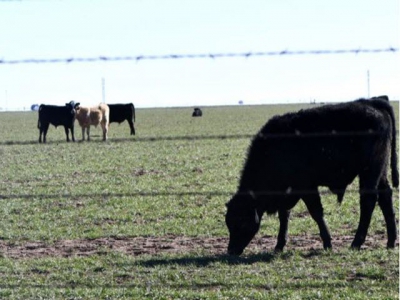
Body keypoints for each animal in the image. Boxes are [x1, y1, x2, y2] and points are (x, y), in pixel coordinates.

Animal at [227, 96, 398, 255]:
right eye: (228, 222)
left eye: (241, 221)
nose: (231, 250)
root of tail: (372, 101)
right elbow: (284, 216)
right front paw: (279, 246)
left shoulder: (306, 187)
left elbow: (316, 212)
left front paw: (327, 243)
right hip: (380, 172)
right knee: (385, 197)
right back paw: (391, 241)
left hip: (369, 172)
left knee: (368, 201)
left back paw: (356, 243)